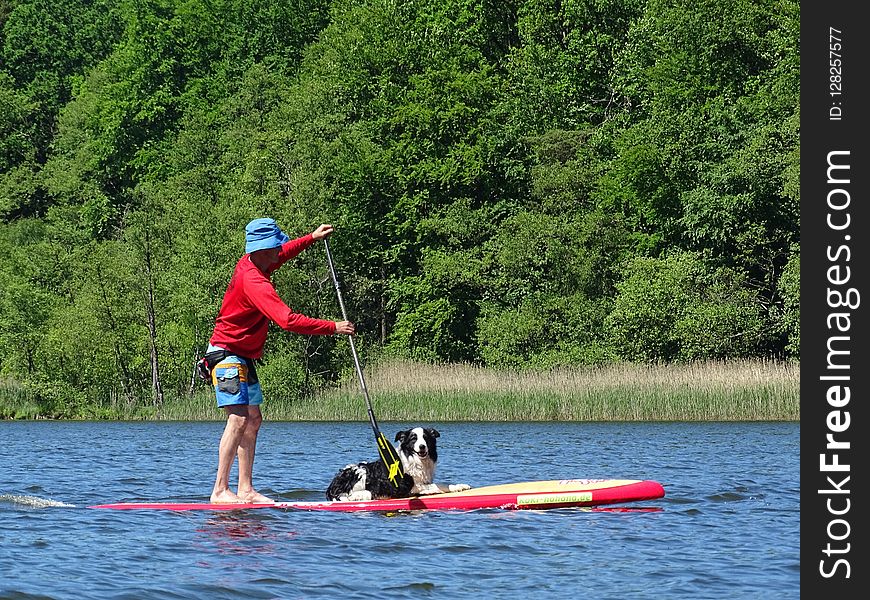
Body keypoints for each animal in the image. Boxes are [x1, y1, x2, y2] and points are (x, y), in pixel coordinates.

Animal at [328, 426, 474, 502]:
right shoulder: (412, 487)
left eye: (426, 438)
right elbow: (437, 485)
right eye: (413, 438)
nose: (422, 447)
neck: (415, 460)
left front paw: (460, 486)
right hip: (360, 473)